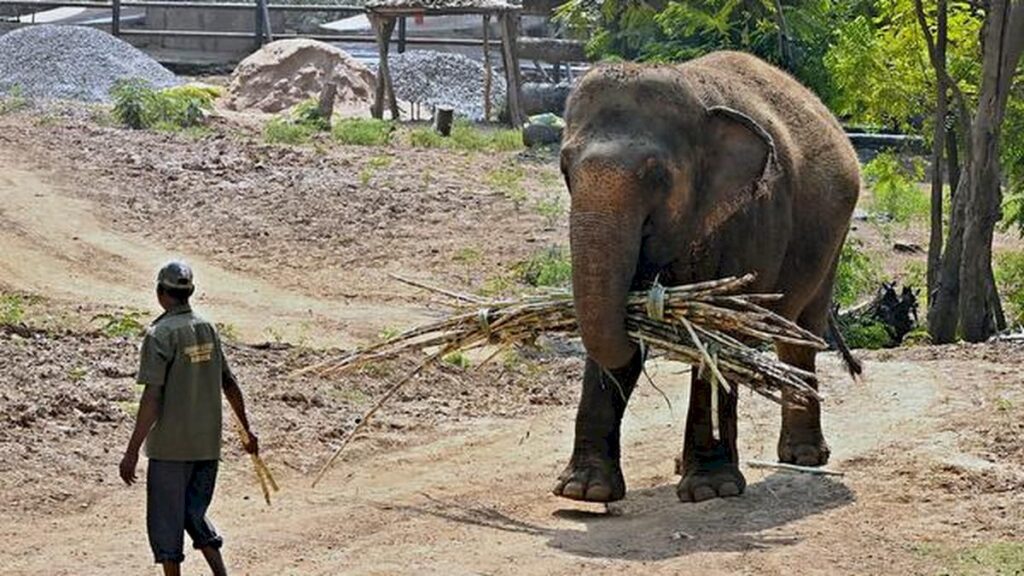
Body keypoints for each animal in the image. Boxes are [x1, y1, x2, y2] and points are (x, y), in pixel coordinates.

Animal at [553, 51, 861, 504]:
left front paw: (711, 490)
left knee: (800, 333)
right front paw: (583, 490)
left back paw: (804, 457)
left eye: (656, 174)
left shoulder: (753, 215)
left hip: (832, 242)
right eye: (565, 169)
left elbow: (718, 335)